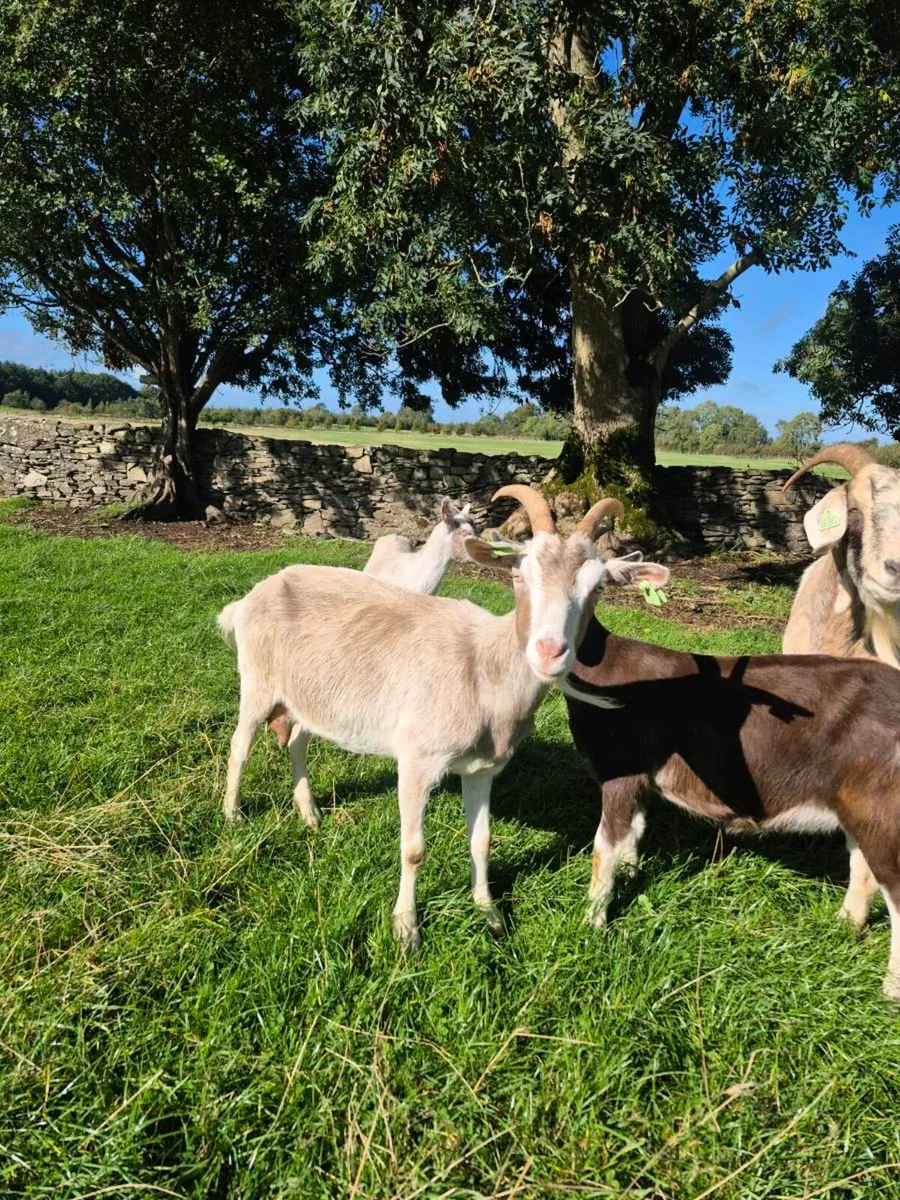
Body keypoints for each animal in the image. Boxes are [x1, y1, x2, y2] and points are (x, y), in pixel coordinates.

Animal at [218, 487, 664, 950]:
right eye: (519, 575)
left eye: (597, 587)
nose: (549, 652)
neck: (484, 666)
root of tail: (251, 596)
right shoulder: (418, 759)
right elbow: (413, 849)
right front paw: (406, 930)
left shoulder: (483, 767)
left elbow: (482, 841)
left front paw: (490, 915)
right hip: (257, 681)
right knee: (239, 745)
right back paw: (233, 815)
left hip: (311, 694)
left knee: (298, 740)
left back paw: (309, 814)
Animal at [562, 599, 900, 999]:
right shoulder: (641, 779)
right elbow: (634, 829)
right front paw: (630, 875)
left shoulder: (622, 771)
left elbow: (604, 846)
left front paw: (592, 924)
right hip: (857, 804)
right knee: (863, 866)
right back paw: (845, 925)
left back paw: (890, 989)